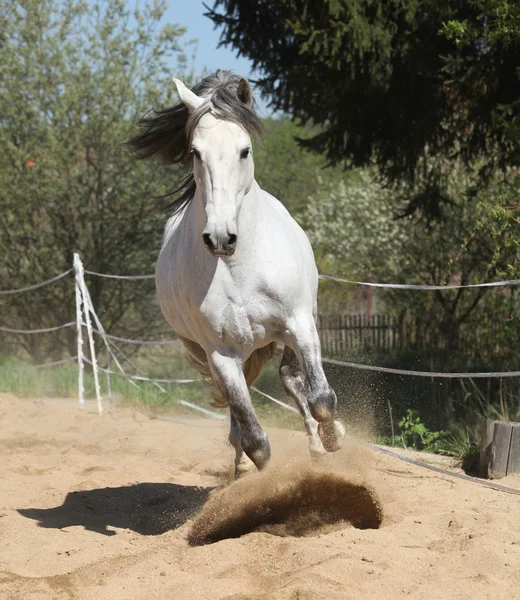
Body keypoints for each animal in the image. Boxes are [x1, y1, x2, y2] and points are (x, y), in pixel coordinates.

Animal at [128, 70, 344, 476]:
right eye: (195, 152)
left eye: (245, 150)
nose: (220, 236)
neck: (238, 266)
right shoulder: (220, 352)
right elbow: (256, 439)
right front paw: (258, 478)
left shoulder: (299, 323)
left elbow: (321, 398)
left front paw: (334, 438)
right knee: (240, 410)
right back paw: (241, 464)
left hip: (294, 328)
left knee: (293, 380)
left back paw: (319, 445)